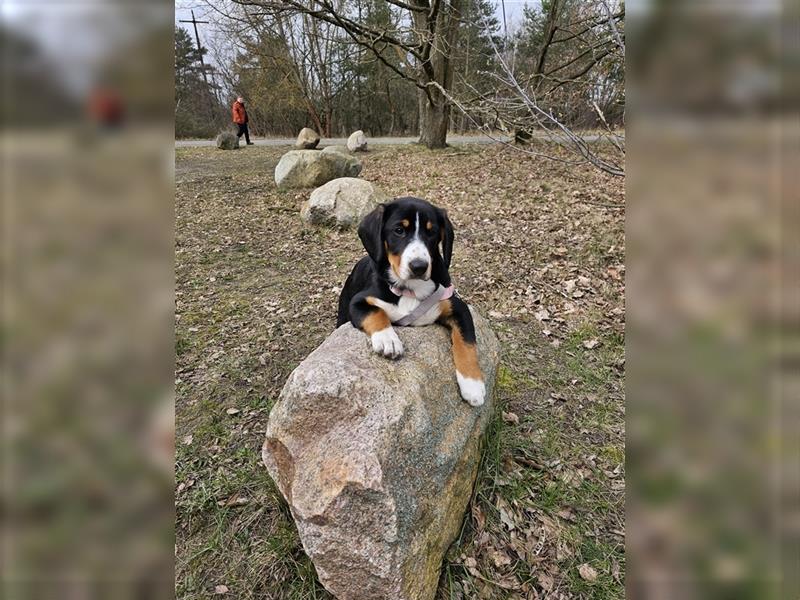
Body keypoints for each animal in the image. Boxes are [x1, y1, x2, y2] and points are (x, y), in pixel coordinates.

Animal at [334, 197, 484, 408]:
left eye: (431, 232)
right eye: (399, 230)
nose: (419, 266)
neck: (411, 289)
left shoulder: (456, 306)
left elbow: (467, 343)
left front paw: (473, 385)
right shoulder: (358, 301)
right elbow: (376, 313)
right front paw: (388, 339)